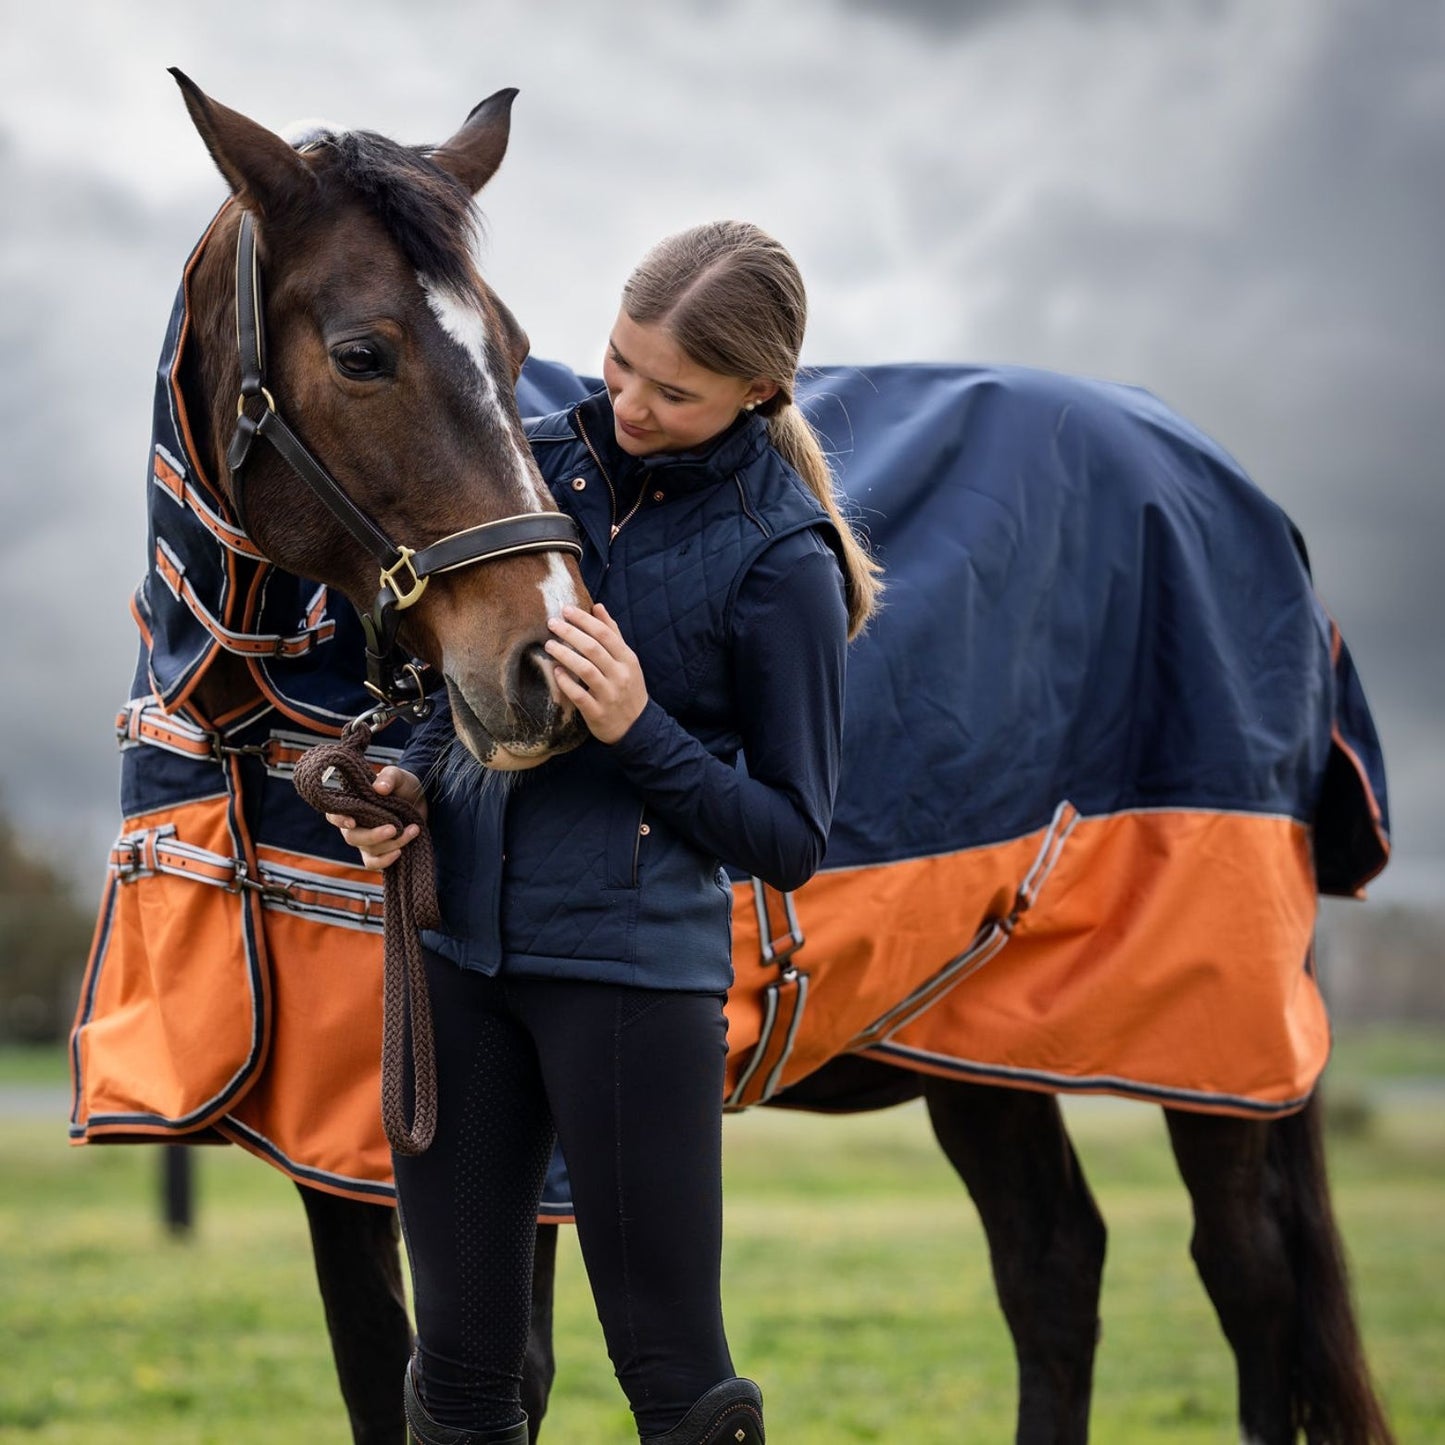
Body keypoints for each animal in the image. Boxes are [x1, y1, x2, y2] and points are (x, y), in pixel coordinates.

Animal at [69, 77, 1397, 1445]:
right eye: (359, 353)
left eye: (511, 350)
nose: (537, 664)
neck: (245, 703)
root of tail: (1238, 498)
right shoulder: (346, 1150)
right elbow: (385, 1373)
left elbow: (499, 1376)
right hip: (981, 1036)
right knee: (1051, 1262)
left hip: (1210, 1050)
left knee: (1247, 1284)